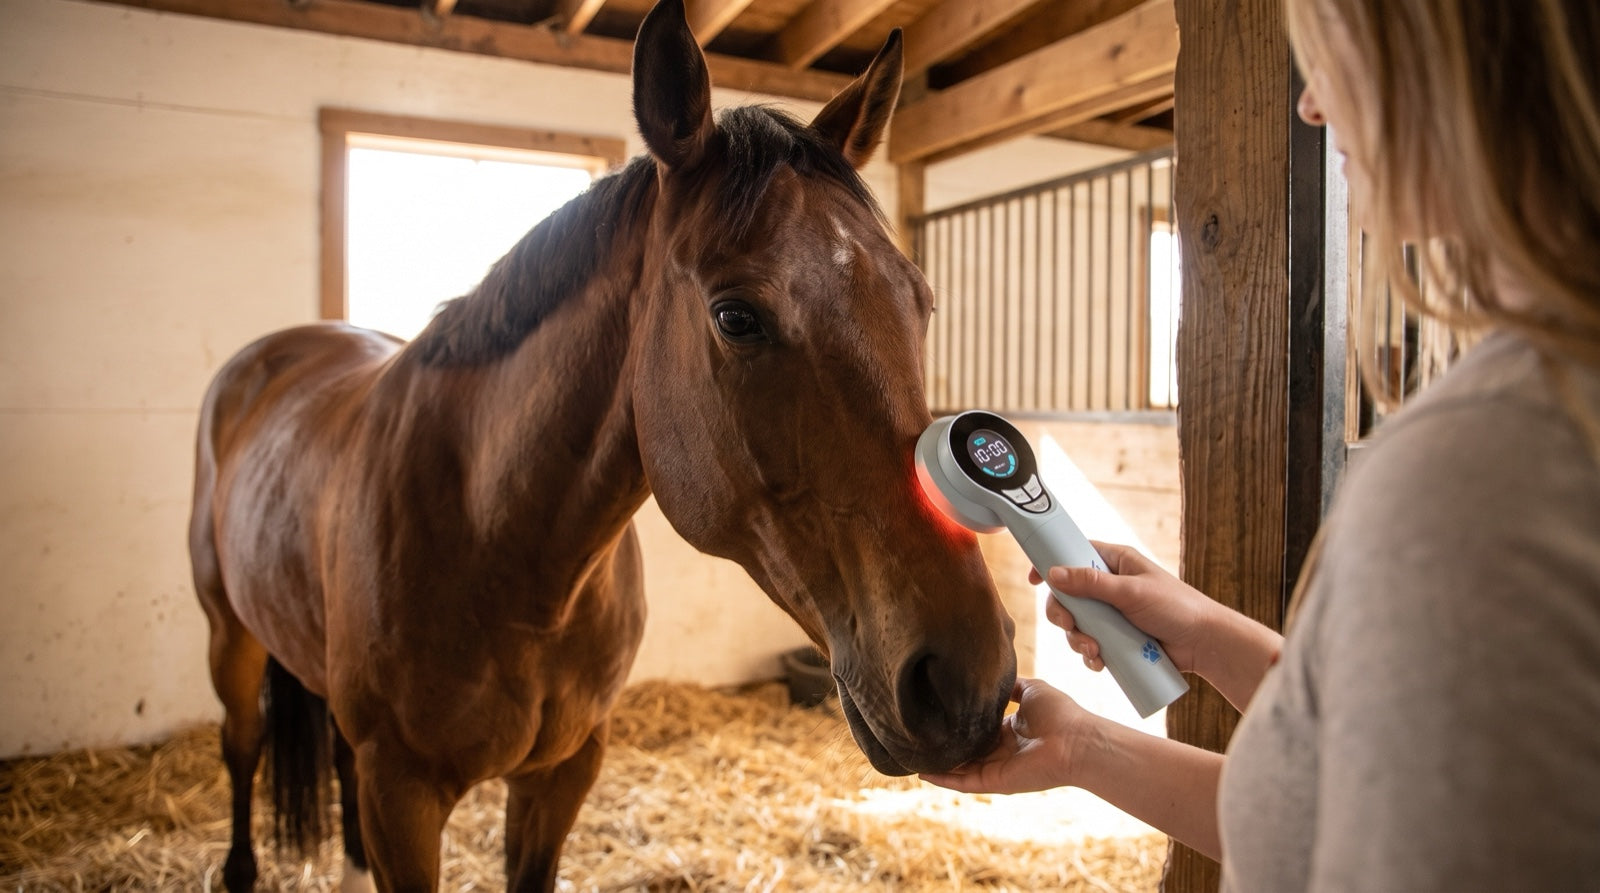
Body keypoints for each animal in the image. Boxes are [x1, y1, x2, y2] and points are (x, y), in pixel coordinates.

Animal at [188, 0, 1017, 889]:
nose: (967, 682)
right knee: (241, 745)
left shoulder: (564, 770)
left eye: (920, 299)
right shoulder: (400, 795)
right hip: (229, 637)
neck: (502, 551)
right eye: (736, 316)